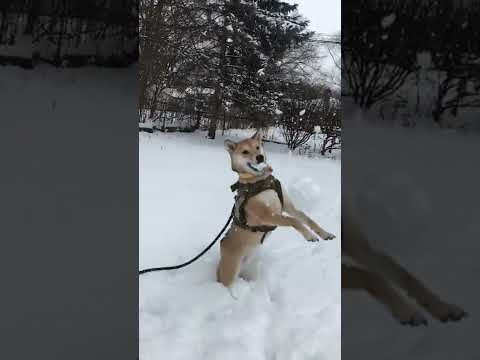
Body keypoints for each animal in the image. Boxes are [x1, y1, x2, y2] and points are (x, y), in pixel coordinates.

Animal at [216, 131, 336, 288]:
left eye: (258, 147)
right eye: (245, 152)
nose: (260, 157)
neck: (259, 180)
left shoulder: (288, 206)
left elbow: (307, 219)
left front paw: (325, 234)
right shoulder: (267, 215)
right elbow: (294, 221)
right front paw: (309, 236)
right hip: (230, 271)